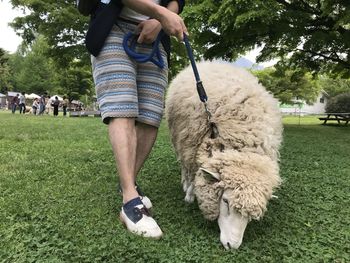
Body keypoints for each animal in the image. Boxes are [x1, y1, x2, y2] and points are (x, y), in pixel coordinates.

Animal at [165, 60, 284, 251]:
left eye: (250, 217)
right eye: (226, 201)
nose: (232, 245)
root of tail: (209, 62)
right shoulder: (191, 145)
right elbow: (192, 173)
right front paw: (190, 195)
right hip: (180, 139)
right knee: (184, 166)